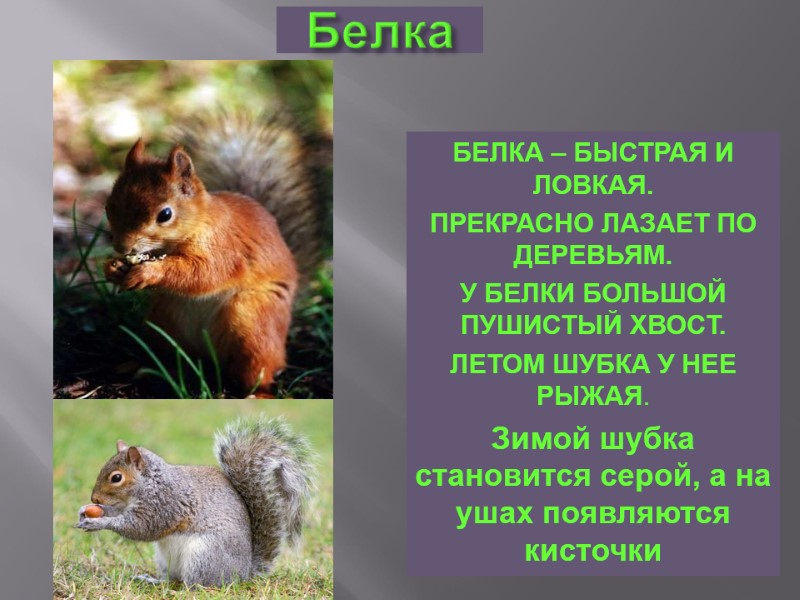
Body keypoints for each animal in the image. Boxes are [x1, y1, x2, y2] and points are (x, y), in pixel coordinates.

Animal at [75, 416, 315, 587]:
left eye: (116, 478)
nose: (94, 498)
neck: (150, 483)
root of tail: (243, 572)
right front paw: (87, 511)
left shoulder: (165, 503)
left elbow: (141, 528)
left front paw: (98, 522)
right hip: (165, 559)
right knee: (172, 579)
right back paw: (153, 581)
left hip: (203, 556)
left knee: (196, 585)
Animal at [103, 113, 326, 396]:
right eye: (108, 206)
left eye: (165, 214)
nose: (123, 247)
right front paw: (112, 268)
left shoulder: (225, 248)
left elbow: (206, 273)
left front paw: (150, 271)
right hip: (163, 321)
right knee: (179, 358)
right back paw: (155, 372)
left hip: (253, 323)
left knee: (259, 367)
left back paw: (257, 392)